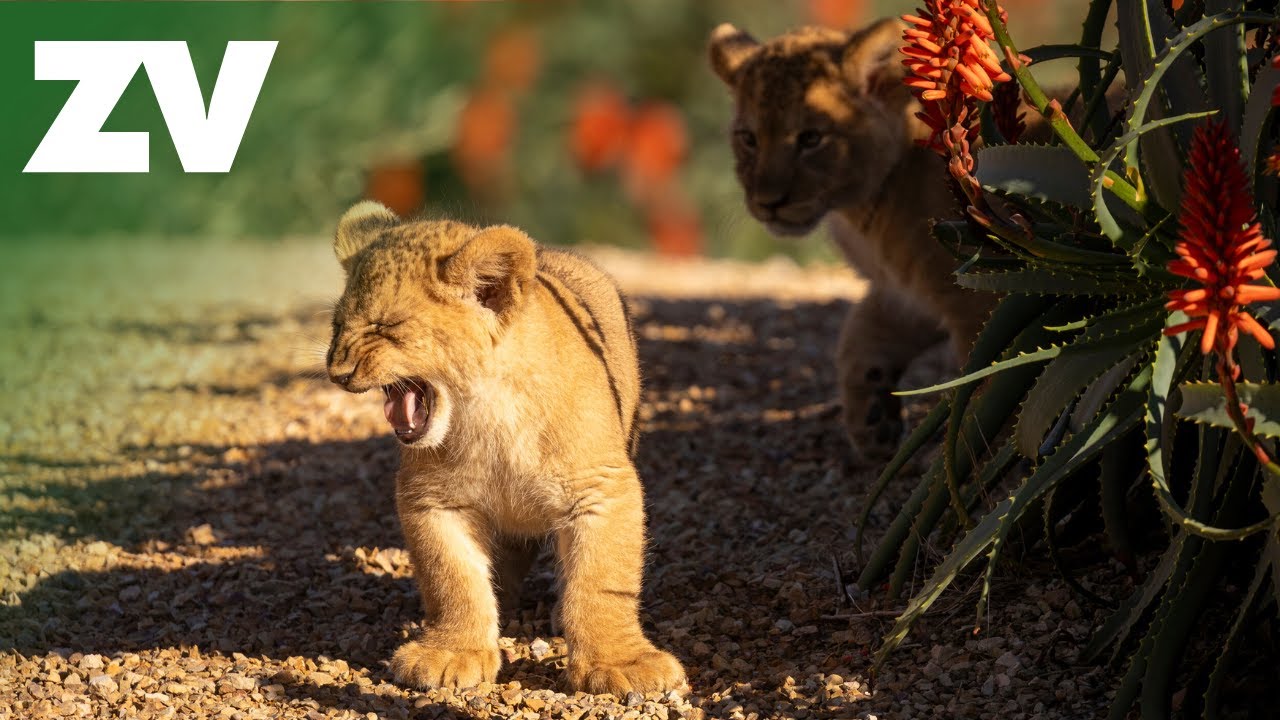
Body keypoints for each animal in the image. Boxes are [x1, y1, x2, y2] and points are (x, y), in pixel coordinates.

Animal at [325, 201, 685, 694]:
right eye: (338, 325)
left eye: (386, 326)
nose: (336, 372)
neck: (487, 413)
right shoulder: (433, 499)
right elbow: (452, 580)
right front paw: (452, 653)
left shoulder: (601, 489)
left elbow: (602, 583)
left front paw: (620, 663)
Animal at [708, 18, 996, 461]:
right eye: (749, 139)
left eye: (811, 138)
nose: (768, 203)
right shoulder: (907, 292)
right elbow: (859, 337)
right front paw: (873, 425)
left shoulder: (972, 297)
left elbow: (979, 387)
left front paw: (966, 458)